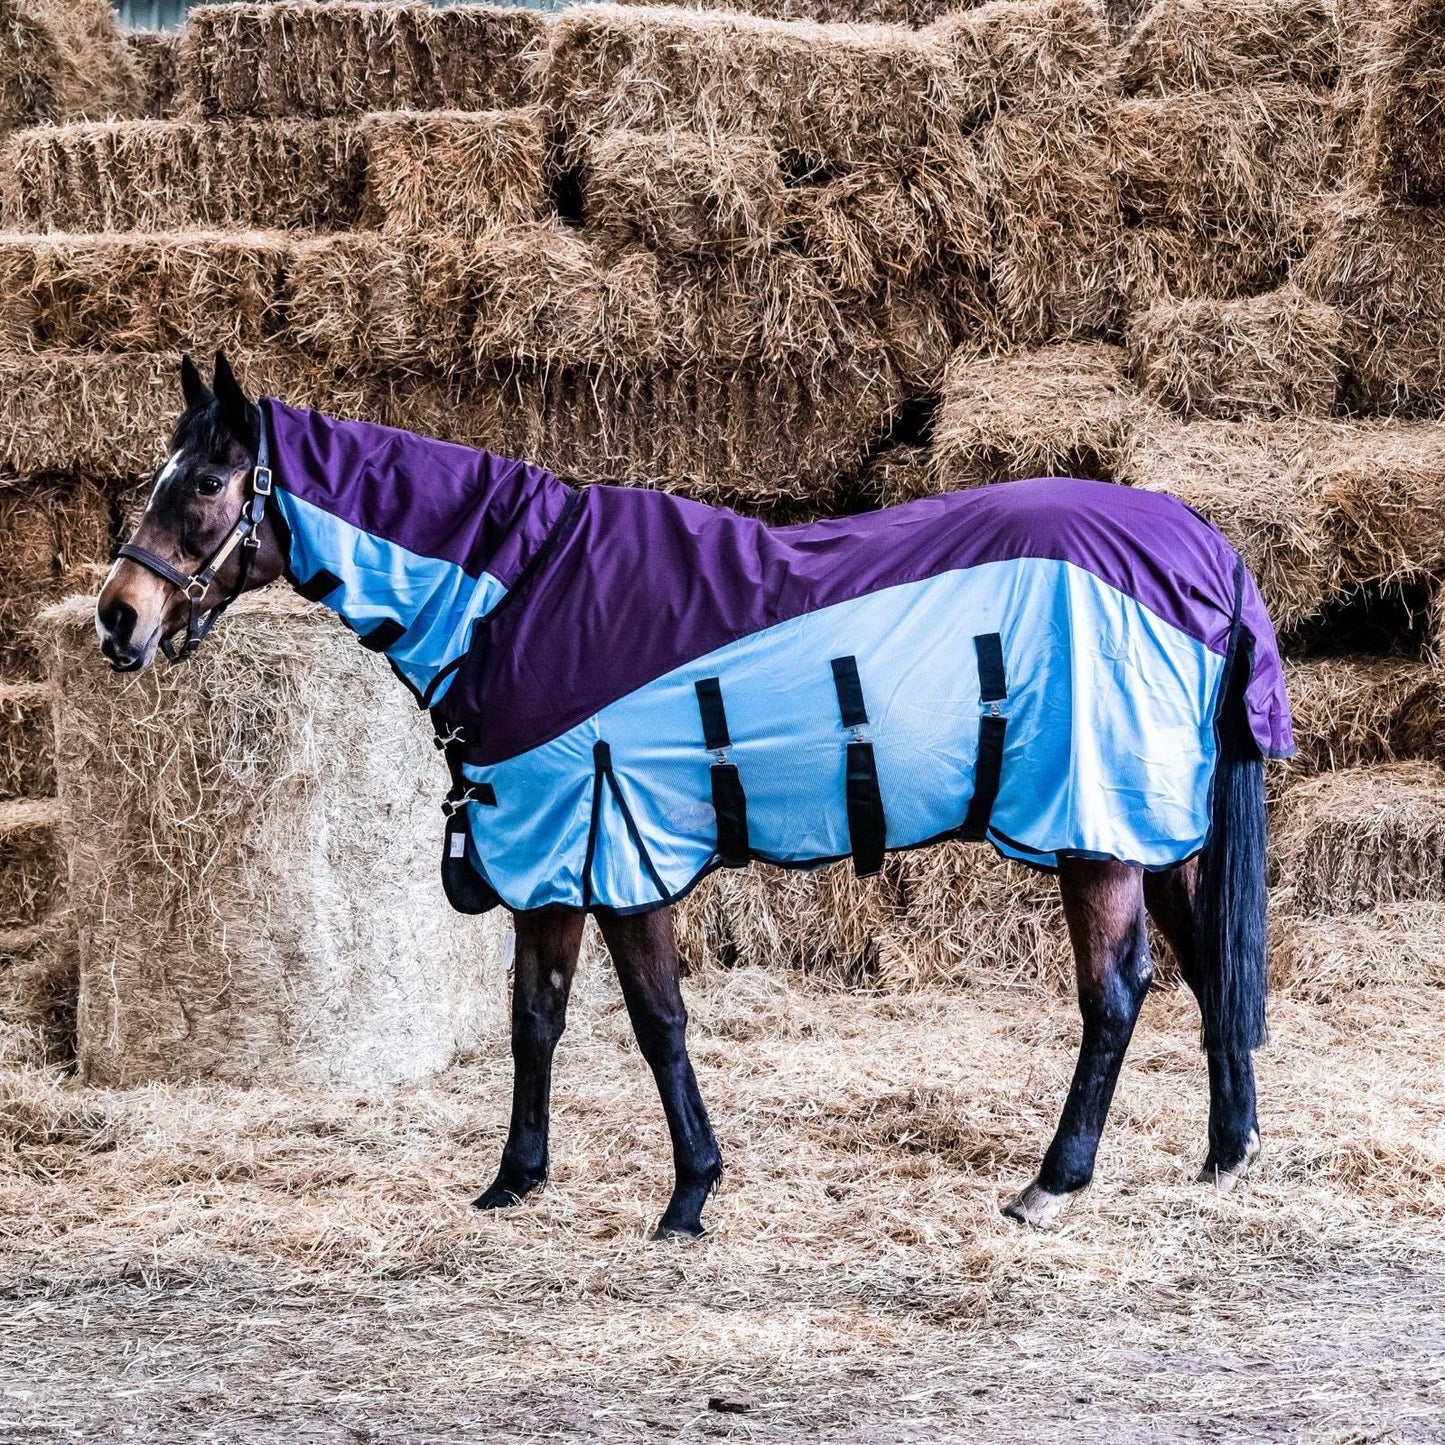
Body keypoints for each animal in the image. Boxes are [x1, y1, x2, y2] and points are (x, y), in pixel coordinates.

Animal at [95, 353, 1290, 1238]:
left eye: (204, 483)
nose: (117, 618)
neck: (516, 590)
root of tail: (1205, 550)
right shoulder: (546, 855)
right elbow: (536, 1018)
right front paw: (514, 1178)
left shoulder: (617, 846)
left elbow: (656, 1021)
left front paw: (688, 1194)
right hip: (1154, 833)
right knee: (1207, 969)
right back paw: (1224, 1152)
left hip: (1093, 833)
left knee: (1116, 992)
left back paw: (1055, 1179)